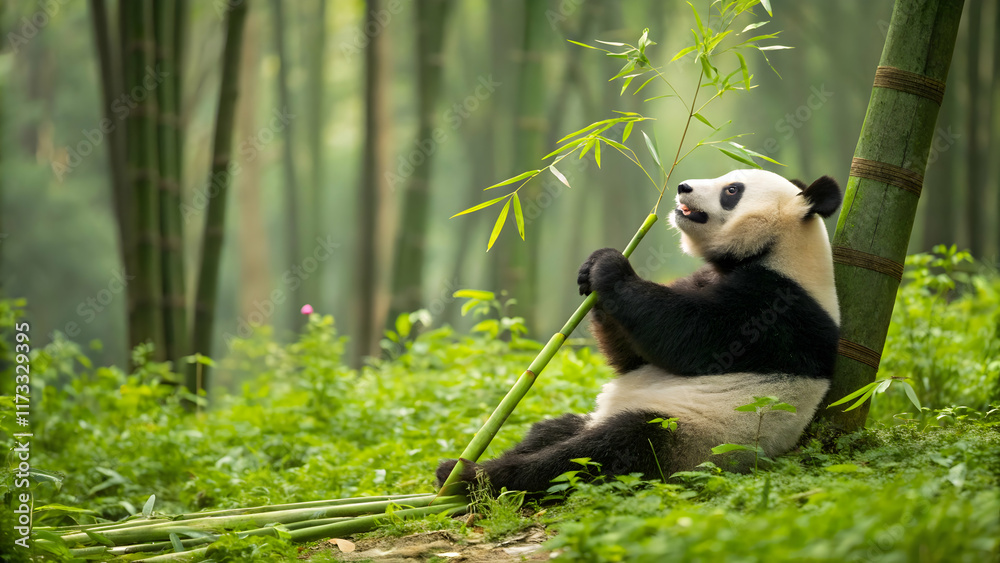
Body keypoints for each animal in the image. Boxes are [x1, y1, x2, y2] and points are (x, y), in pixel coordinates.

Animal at [438, 169, 843, 493]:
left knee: (603, 451)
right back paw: (460, 471)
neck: (781, 252)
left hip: (694, 436)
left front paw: (610, 267)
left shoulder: (777, 307)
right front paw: (591, 269)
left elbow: (690, 336)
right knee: (552, 431)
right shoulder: (710, 278)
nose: (682, 187)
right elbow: (632, 357)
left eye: (732, 190)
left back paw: (476, 477)